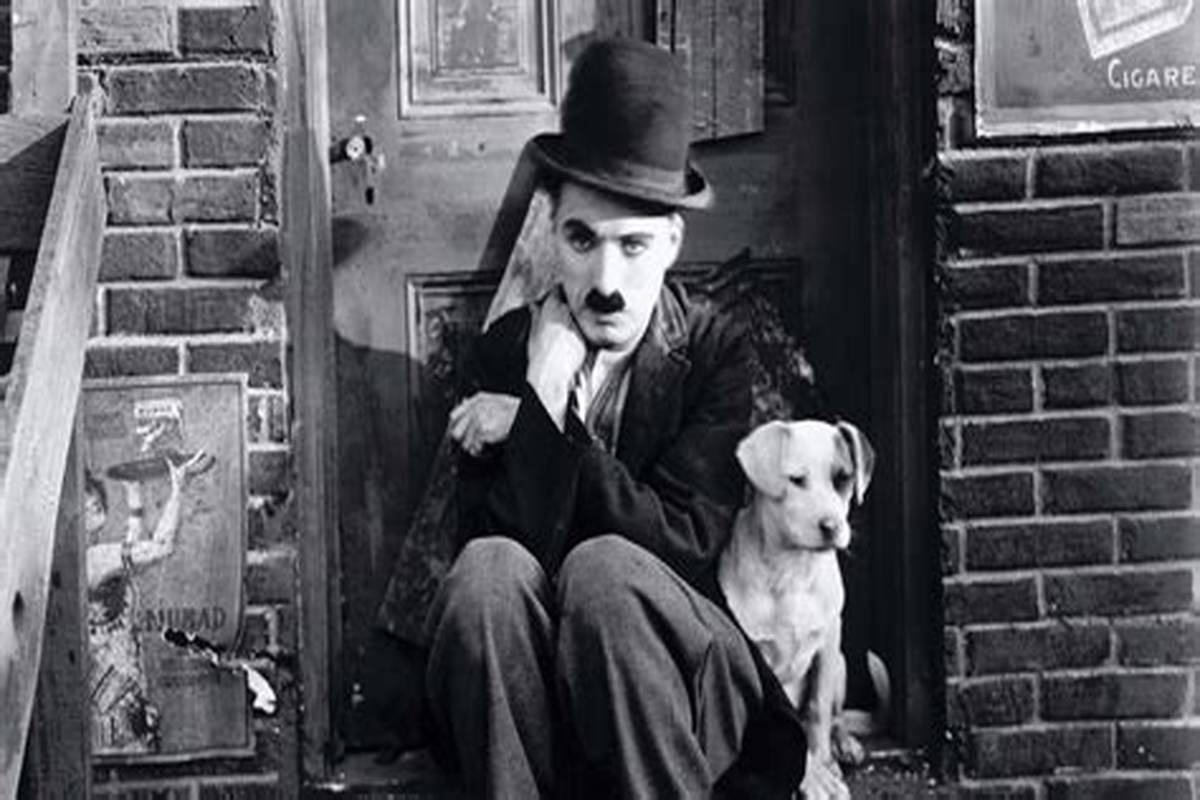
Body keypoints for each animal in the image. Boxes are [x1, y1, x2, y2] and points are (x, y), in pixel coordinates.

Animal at [718, 419, 881, 800]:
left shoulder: (827, 644)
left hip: (841, 665)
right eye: (795, 480)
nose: (832, 527)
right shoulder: (757, 656)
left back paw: (843, 745)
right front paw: (812, 777)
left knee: (835, 717)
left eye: (843, 478)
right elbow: (789, 721)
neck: (792, 569)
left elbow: (817, 712)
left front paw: (822, 763)